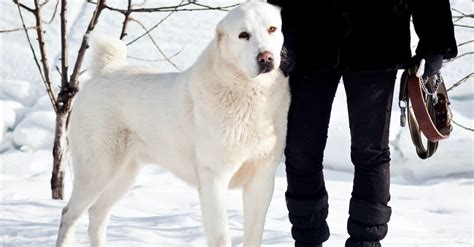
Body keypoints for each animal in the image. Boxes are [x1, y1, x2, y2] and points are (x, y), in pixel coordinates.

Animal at [57, 0, 290, 246]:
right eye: (243, 35)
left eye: (272, 29)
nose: (265, 57)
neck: (250, 93)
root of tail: (106, 70)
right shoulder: (213, 179)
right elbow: (220, 237)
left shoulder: (262, 180)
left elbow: (254, 235)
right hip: (98, 170)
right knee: (69, 215)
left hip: (125, 174)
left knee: (97, 214)